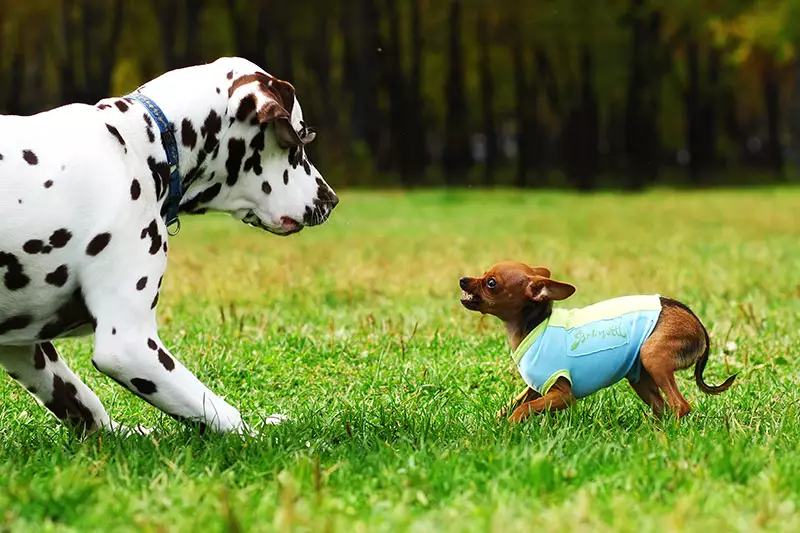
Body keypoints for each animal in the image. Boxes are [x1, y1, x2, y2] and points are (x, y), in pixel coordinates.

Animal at [0, 56, 340, 434]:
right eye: (298, 140)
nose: (331, 199)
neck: (140, 146)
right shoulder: (129, 345)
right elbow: (221, 413)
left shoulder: (22, 347)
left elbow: (86, 406)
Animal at [460, 262, 736, 424]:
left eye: (491, 283)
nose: (463, 279)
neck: (535, 325)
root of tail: (698, 324)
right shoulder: (535, 388)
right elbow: (514, 403)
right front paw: (496, 423)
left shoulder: (562, 395)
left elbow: (524, 409)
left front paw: (509, 428)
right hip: (640, 376)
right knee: (664, 409)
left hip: (652, 355)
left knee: (681, 405)